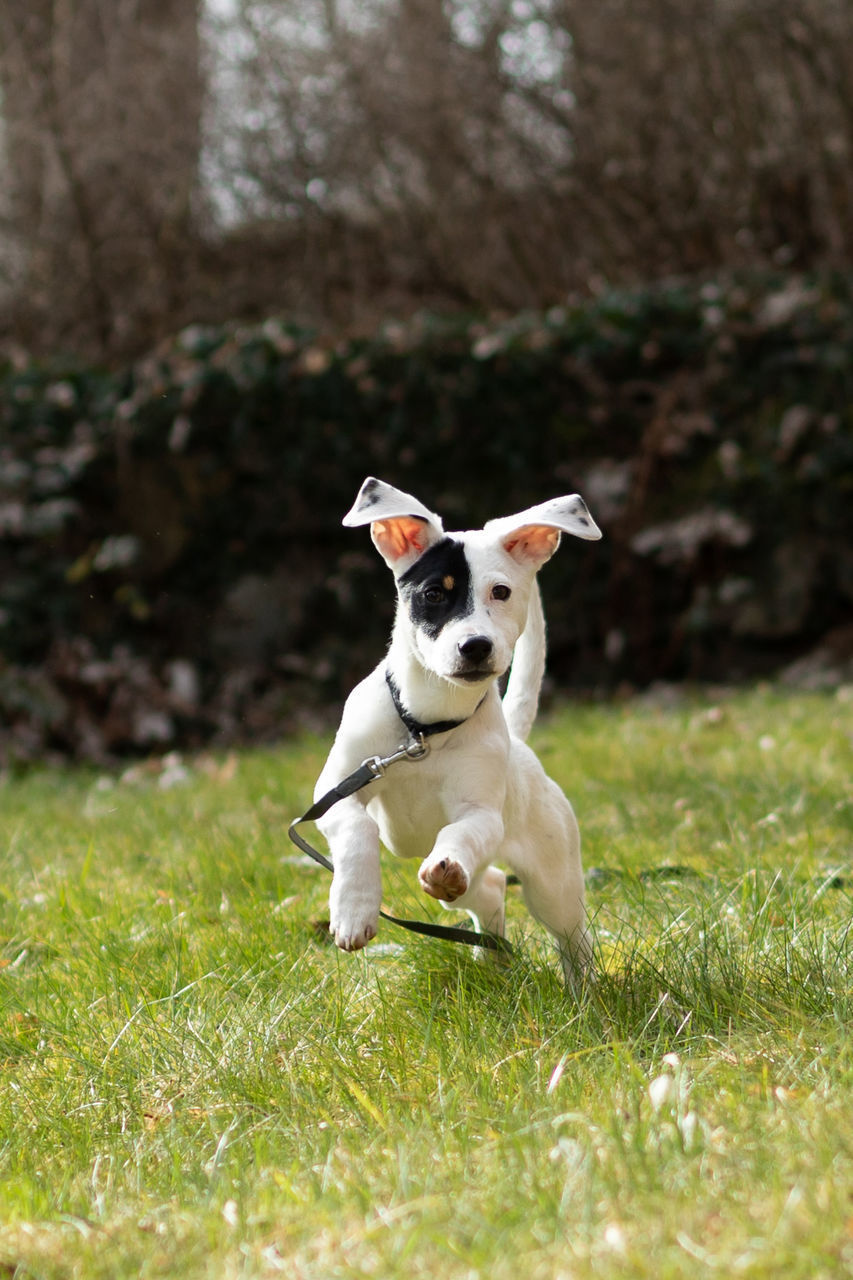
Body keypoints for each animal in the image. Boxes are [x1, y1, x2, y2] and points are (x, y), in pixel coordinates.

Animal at [315, 481, 601, 977]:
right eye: (433, 594)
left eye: (501, 592)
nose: (476, 646)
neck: (425, 731)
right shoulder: (335, 789)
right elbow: (357, 830)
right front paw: (354, 910)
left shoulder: (481, 813)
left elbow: (460, 834)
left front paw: (443, 863)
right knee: (489, 887)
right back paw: (491, 955)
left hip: (552, 879)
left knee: (567, 931)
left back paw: (582, 987)